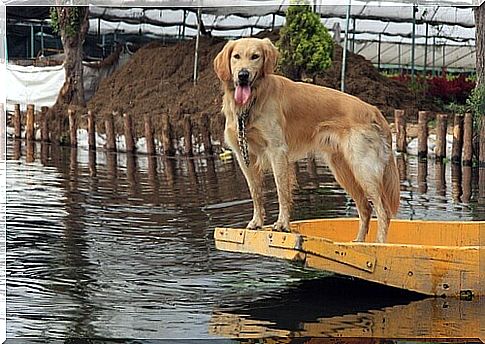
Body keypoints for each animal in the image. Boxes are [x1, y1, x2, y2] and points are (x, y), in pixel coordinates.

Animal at [214, 37, 398, 242]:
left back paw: (377, 244)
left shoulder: (277, 151)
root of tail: (373, 110)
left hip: (363, 168)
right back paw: (358, 243)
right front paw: (257, 222)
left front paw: (282, 224)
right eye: (236, 57)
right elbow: (256, 192)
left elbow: (281, 191)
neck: (252, 102)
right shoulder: (244, 155)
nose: (243, 75)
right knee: (365, 208)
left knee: (383, 212)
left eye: (255, 56)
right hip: (343, 170)